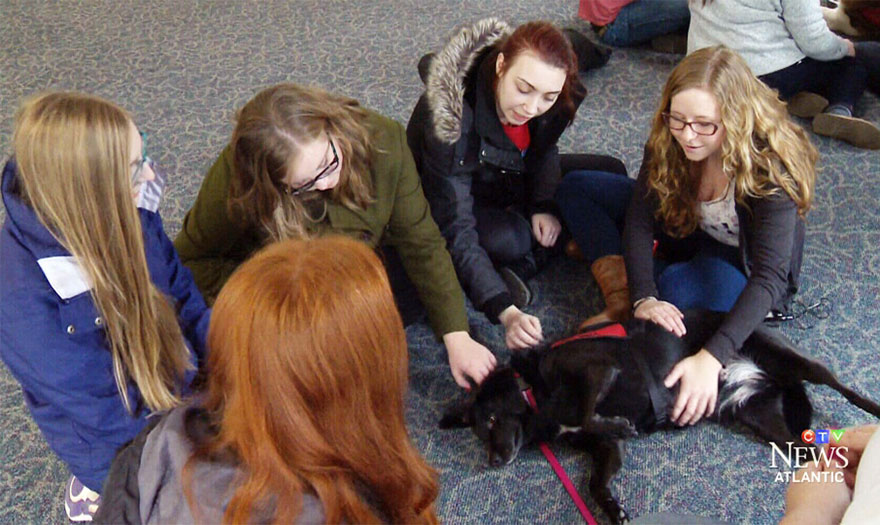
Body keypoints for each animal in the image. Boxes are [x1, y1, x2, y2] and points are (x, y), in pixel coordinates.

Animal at [440, 310, 880, 520]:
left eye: (492, 420)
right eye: (478, 433)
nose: (493, 462)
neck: (535, 392)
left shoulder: (599, 370)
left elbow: (587, 412)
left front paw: (619, 423)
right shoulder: (605, 450)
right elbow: (595, 483)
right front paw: (612, 509)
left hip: (793, 360)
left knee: (840, 385)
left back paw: (871, 410)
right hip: (761, 419)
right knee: (815, 454)